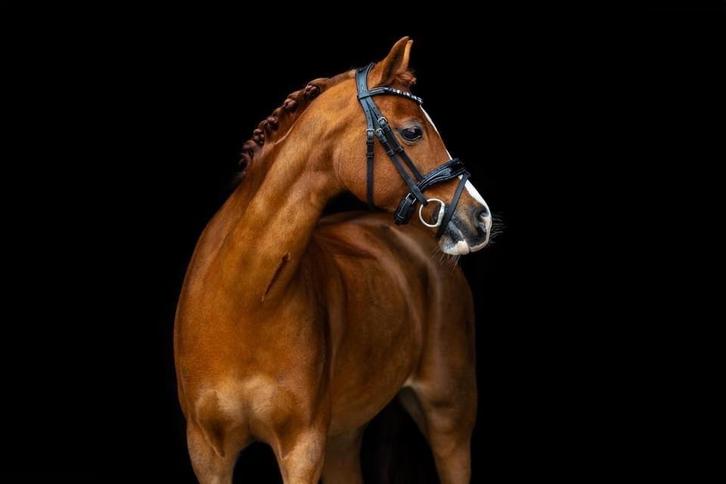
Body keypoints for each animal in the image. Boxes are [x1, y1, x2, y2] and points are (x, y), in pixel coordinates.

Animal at [174, 37, 492, 484]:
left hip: (450, 416)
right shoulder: (207, 452)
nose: (480, 217)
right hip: (345, 437)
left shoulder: (302, 448)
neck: (244, 299)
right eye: (413, 131)